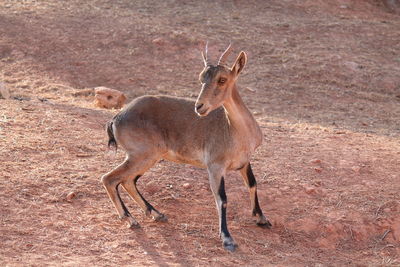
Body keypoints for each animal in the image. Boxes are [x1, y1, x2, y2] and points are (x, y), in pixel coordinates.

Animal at [101, 44, 272, 253]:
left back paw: (156, 214)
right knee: (110, 179)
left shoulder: (245, 162)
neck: (237, 131)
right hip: (141, 155)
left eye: (222, 79)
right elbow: (222, 198)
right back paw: (130, 219)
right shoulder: (215, 166)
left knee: (128, 181)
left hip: (148, 157)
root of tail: (116, 118)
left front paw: (262, 219)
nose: (200, 107)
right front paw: (227, 239)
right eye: (201, 78)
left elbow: (253, 184)